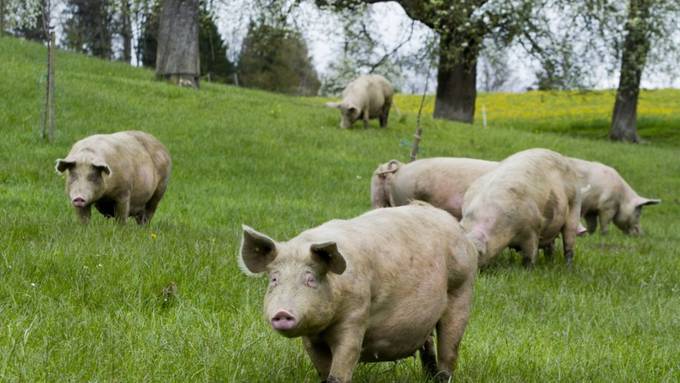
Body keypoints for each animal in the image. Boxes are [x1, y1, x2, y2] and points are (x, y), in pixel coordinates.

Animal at [239, 202, 478, 382]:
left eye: (310, 279)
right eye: (274, 279)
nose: (282, 313)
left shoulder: (355, 317)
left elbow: (342, 366)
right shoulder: (311, 338)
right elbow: (322, 369)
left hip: (461, 291)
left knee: (449, 350)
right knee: (428, 346)